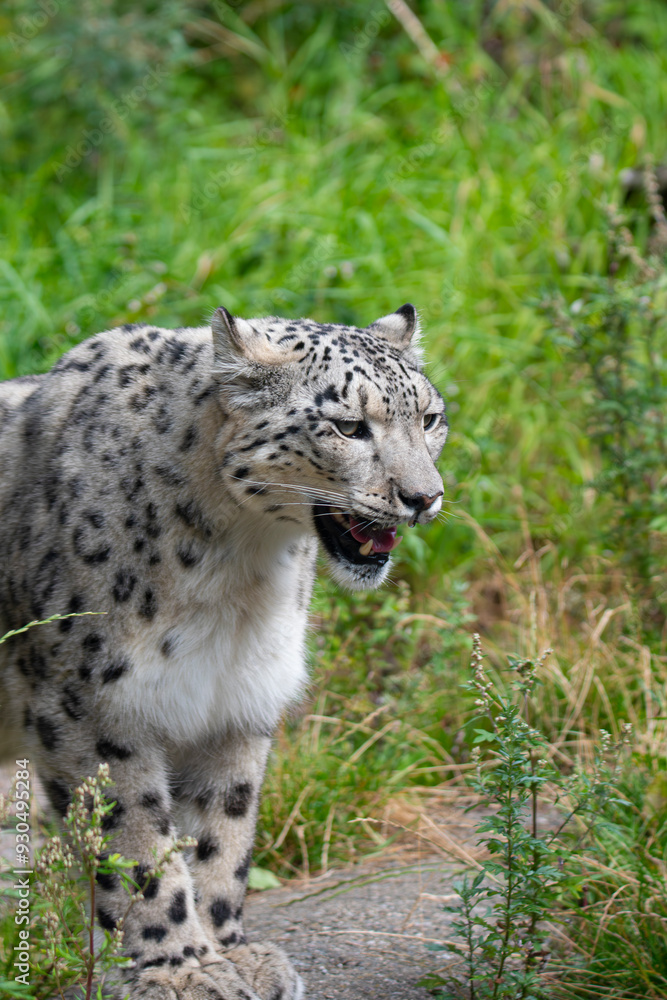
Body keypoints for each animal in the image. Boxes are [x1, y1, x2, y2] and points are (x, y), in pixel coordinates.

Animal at [0, 303, 447, 999]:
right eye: (349, 426)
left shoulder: (236, 697)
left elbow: (222, 829)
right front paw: (179, 966)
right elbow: (136, 841)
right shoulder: (89, 706)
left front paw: (231, 951)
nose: (424, 497)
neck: (239, 572)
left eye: (429, 418)